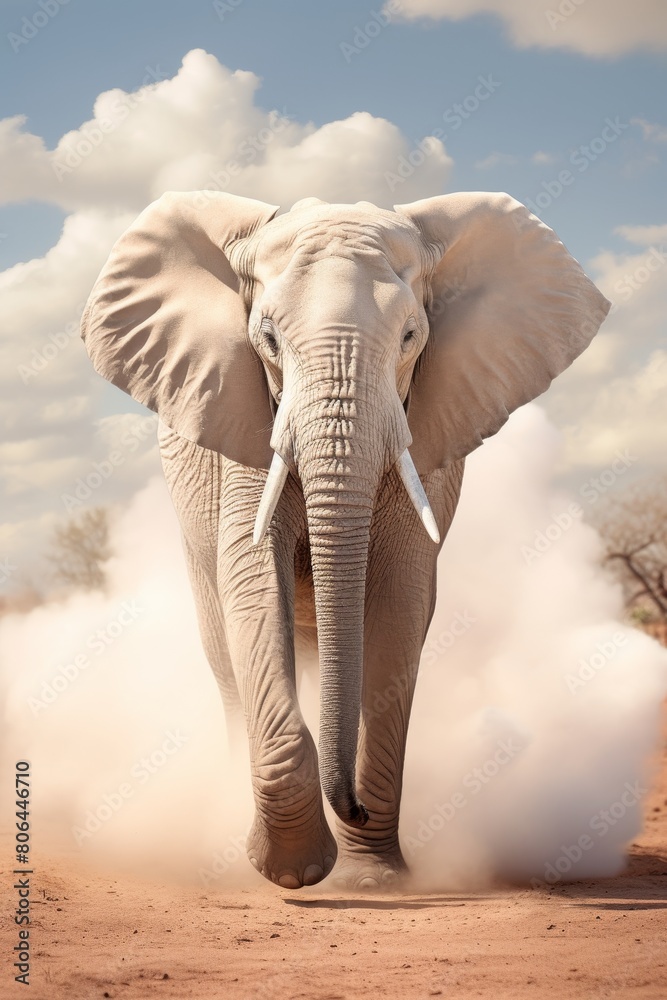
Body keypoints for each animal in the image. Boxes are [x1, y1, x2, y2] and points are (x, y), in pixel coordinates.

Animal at [81, 190, 610, 890]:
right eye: (267, 339)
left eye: (411, 337)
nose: (351, 807)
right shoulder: (246, 414)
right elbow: (254, 579)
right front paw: (294, 871)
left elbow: (399, 603)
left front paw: (370, 878)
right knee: (225, 655)